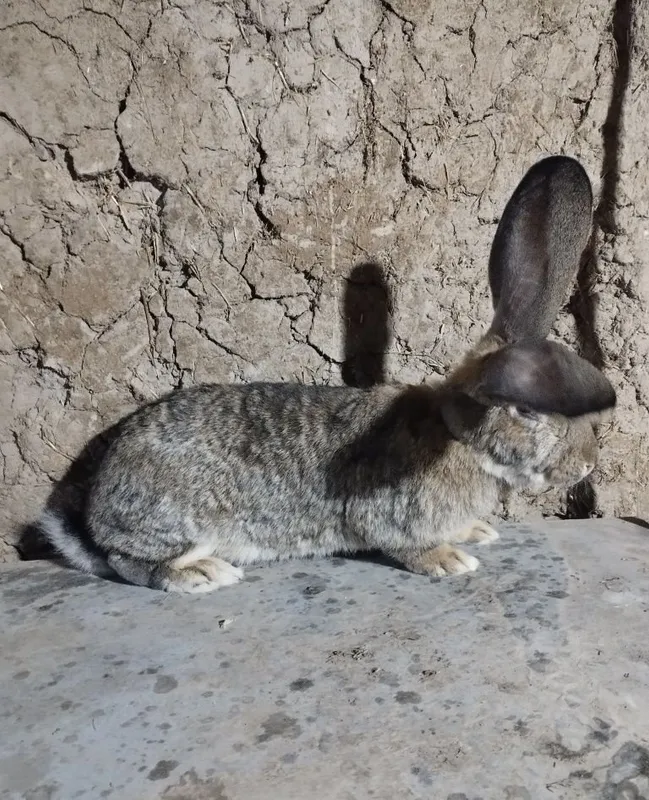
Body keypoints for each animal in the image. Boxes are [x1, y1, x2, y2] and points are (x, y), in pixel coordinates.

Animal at [39, 155, 616, 593]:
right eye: (525, 410)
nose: (588, 465)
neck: (454, 436)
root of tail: (99, 501)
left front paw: (477, 531)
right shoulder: (386, 514)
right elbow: (404, 545)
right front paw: (449, 560)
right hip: (175, 521)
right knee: (129, 562)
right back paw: (201, 575)